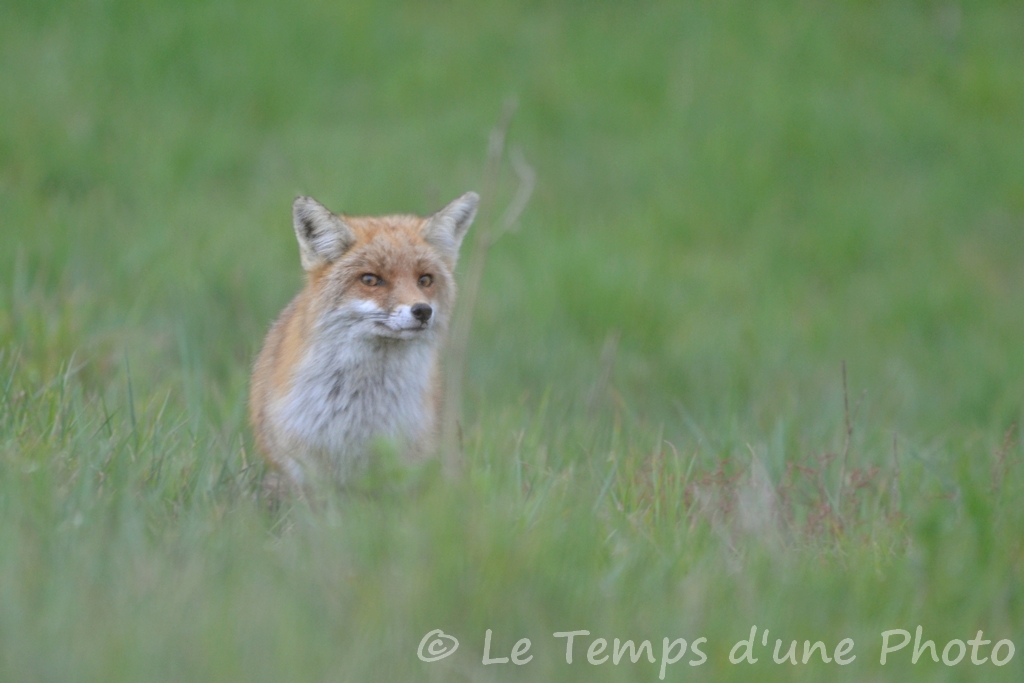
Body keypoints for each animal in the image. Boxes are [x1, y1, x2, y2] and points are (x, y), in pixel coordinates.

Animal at [249, 192, 477, 489]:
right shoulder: (306, 466)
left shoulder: (402, 462)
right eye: (370, 279)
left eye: (425, 280)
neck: (361, 405)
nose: (423, 311)